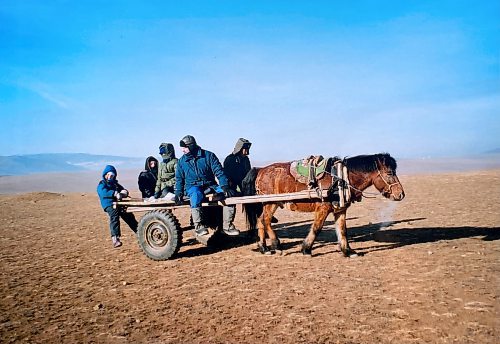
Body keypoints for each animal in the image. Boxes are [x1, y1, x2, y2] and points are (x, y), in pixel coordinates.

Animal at [243, 153, 406, 255]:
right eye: (390, 173)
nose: (401, 194)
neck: (340, 178)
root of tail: (260, 170)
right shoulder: (323, 208)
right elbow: (317, 228)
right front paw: (306, 249)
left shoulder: (340, 209)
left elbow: (342, 230)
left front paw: (348, 251)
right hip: (271, 202)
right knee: (265, 220)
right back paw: (276, 245)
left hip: (270, 203)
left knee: (261, 220)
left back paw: (264, 248)